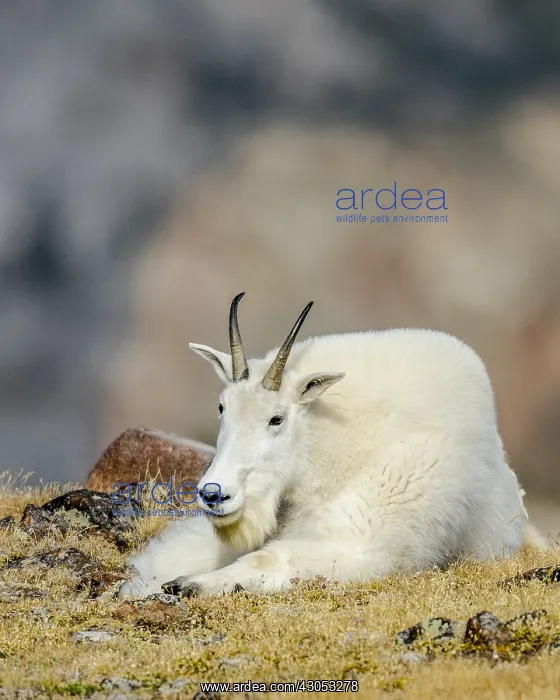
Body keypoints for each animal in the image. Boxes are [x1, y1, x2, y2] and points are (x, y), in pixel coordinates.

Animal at [119, 293, 535, 599]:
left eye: (277, 418)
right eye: (222, 407)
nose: (213, 495)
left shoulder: (366, 544)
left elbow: (266, 559)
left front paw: (191, 584)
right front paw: (138, 586)